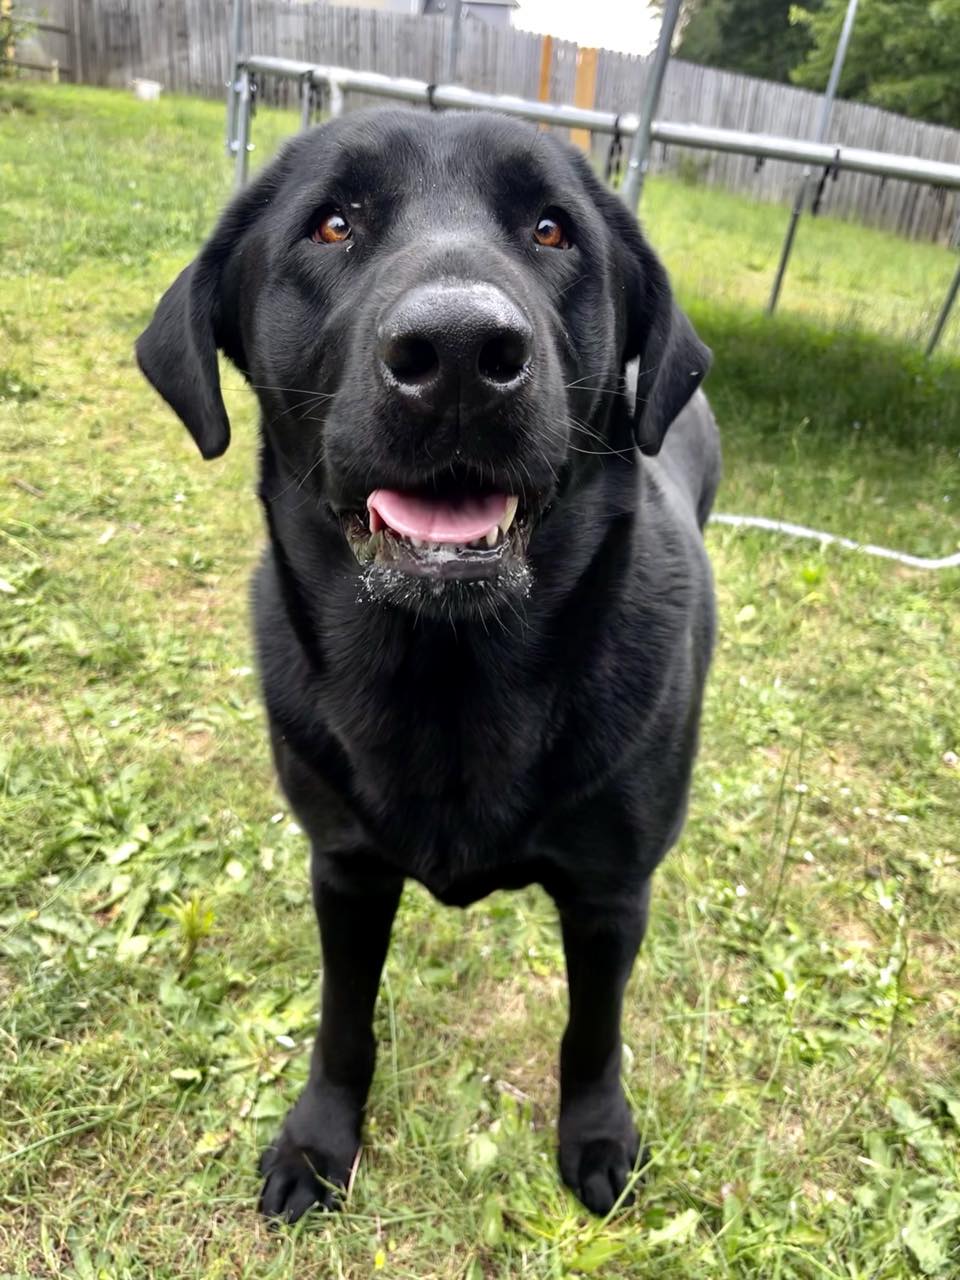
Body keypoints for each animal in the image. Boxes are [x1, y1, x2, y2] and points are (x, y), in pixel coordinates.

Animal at [136, 110, 721, 1218]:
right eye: (332, 223)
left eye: (551, 229)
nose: (457, 352)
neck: (451, 672)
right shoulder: (345, 867)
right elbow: (342, 1017)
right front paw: (321, 1138)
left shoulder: (611, 892)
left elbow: (592, 1030)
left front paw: (596, 1135)